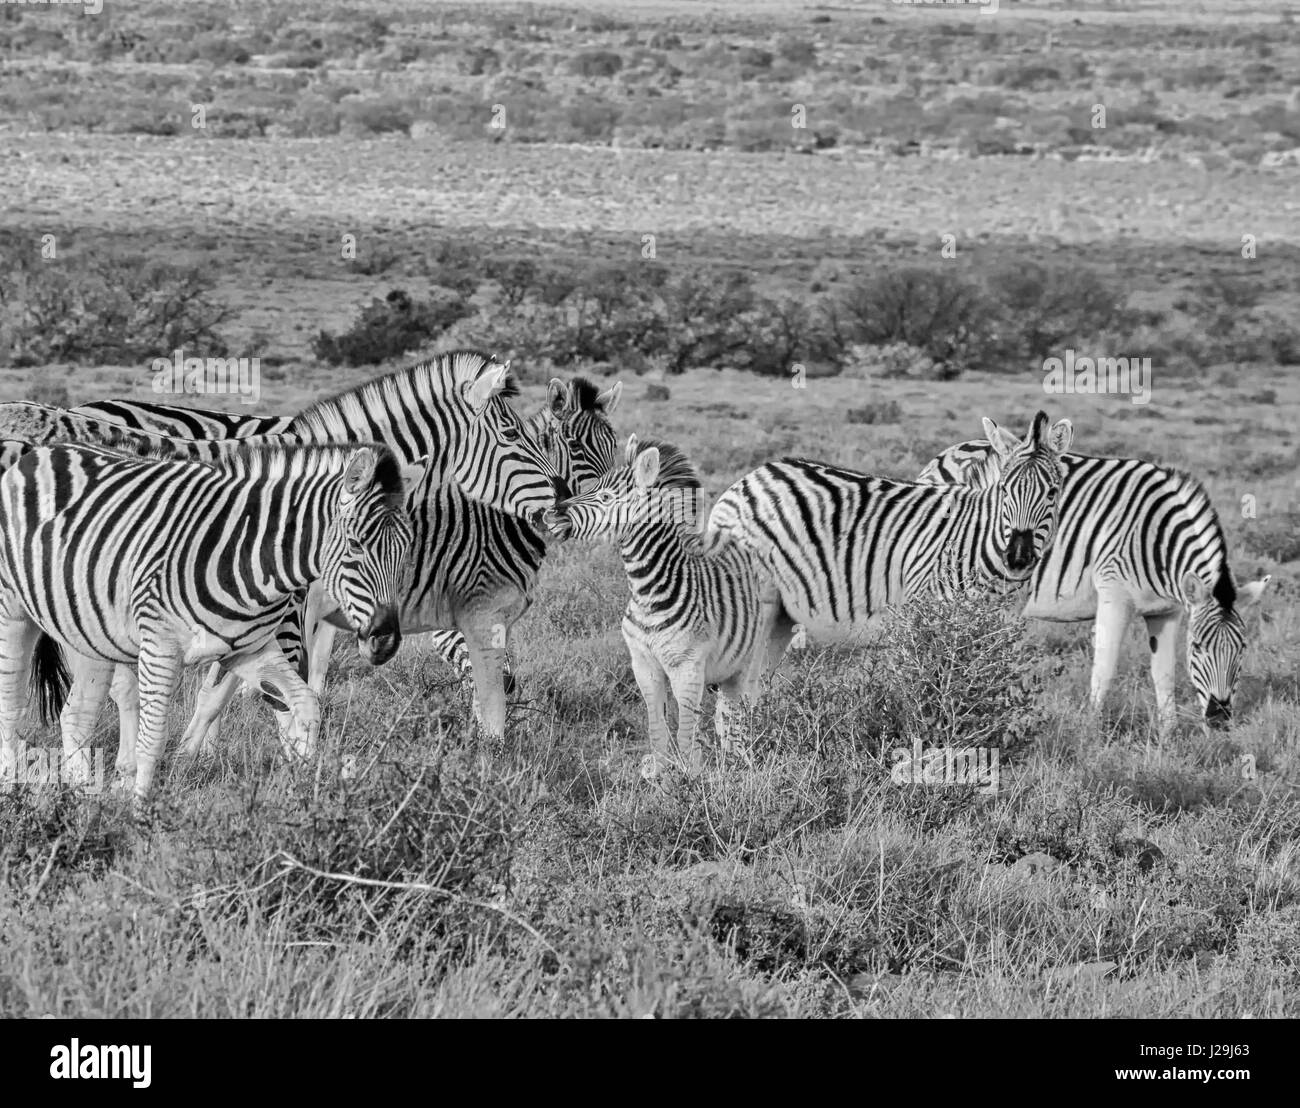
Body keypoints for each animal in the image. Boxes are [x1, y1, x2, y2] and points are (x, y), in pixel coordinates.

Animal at [0, 441, 421, 813]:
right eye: (356, 545)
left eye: (406, 549)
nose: (386, 641)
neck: (246, 556)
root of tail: (37, 453)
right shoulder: (160, 648)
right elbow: (153, 737)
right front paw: (140, 815)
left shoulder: (250, 650)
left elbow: (306, 704)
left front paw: (305, 795)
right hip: (13, 613)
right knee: (12, 708)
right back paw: (14, 795)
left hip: (88, 634)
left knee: (76, 715)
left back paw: (82, 802)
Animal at [550, 435, 777, 775]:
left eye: (605, 496)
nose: (551, 514)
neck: (647, 592)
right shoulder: (643, 664)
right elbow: (656, 724)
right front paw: (657, 773)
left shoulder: (687, 667)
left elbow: (685, 730)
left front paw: (690, 777)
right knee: (727, 713)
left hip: (750, 657)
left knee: (740, 709)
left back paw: (741, 761)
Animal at [705, 411, 1073, 681]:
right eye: (1006, 491)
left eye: (1053, 492)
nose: (1018, 557)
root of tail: (750, 477)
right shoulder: (923, 617)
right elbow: (925, 692)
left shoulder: (991, 633)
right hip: (758, 603)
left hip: (782, 614)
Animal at [916, 427, 1270, 731]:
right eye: (1197, 647)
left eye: (1242, 648)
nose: (1219, 719)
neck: (1156, 539)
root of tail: (945, 454)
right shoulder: (1114, 595)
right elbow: (1105, 669)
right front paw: (1091, 730)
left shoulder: (1166, 611)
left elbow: (1164, 674)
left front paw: (1169, 738)